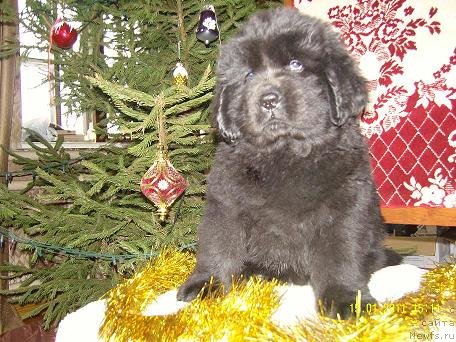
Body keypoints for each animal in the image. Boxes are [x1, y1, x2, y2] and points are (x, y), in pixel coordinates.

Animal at [176, 8, 400, 316]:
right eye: (248, 75)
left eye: (296, 65)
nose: (268, 99)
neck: (285, 153)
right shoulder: (226, 202)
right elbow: (218, 243)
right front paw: (206, 284)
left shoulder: (346, 205)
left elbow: (340, 254)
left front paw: (345, 298)